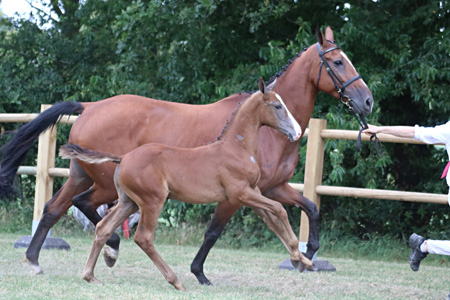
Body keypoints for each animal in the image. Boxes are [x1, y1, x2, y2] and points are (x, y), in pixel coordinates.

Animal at [59, 78, 312, 290]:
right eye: (277, 106)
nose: (297, 131)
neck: (235, 148)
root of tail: (123, 158)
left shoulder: (254, 192)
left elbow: (273, 220)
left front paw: (301, 260)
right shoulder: (240, 194)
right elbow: (279, 210)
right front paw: (299, 257)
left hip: (128, 202)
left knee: (103, 228)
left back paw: (90, 275)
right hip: (152, 201)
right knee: (144, 237)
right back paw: (175, 281)